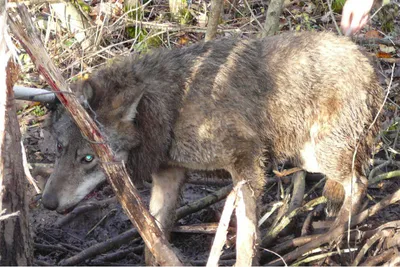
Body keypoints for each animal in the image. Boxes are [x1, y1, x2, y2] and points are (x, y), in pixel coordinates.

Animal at [42, 31, 382, 266]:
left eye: (88, 158)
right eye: (59, 148)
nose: (46, 202)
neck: (171, 107)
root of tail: (367, 61)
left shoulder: (246, 163)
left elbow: (246, 239)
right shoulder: (169, 175)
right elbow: (154, 239)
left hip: (320, 155)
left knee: (360, 182)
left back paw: (329, 236)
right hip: (311, 157)